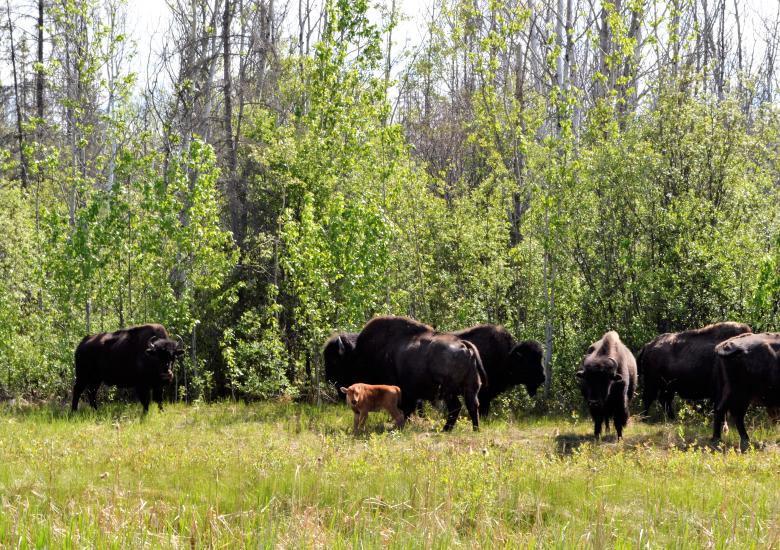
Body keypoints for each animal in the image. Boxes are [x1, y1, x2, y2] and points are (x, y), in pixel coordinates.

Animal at [353, 316, 487, 431]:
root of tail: (463, 345)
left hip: (448, 391)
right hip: (470, 388)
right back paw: (474, 429)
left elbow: (406, 409)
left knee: (456, 407)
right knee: (472, 406)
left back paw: (446, 429)